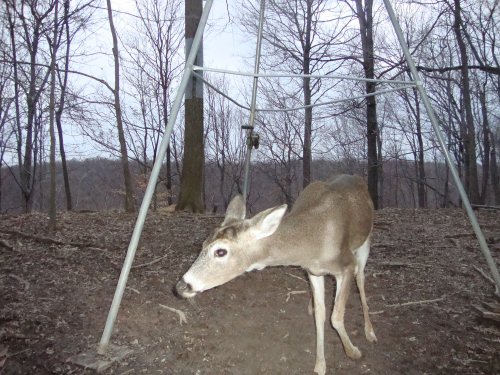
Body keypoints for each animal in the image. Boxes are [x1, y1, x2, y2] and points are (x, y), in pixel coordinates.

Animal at [175, 175, 376, 374]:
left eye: (220, 251)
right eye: (202, 244)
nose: (181, 285)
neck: (313, 243)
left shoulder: (347, 265)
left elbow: (336, 316)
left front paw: (354, 352)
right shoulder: (313, 271)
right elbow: (321, 314)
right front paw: (320, 365)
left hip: (365, 242)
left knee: (361, 279)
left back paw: (370, 332)